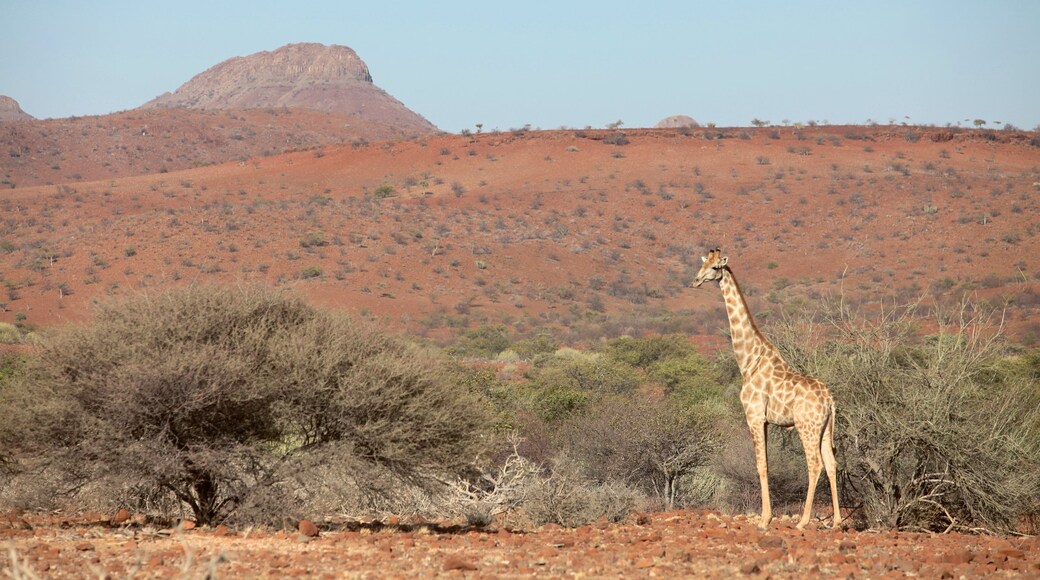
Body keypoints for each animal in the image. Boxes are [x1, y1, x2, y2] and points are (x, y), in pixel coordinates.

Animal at [690, 250, 844, 532]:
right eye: (703, 263)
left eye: (716, 267)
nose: (695, 281)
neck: (749, 360)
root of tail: (830, 400)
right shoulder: (765, 422)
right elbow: (768, 465)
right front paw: (766, 516)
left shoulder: (753, 416)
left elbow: (760, 465)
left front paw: (765, 520)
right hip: (826, 428)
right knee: (831, 463)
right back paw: (837, 522)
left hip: (807, 427)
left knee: (814, 464)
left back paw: (803, 521)